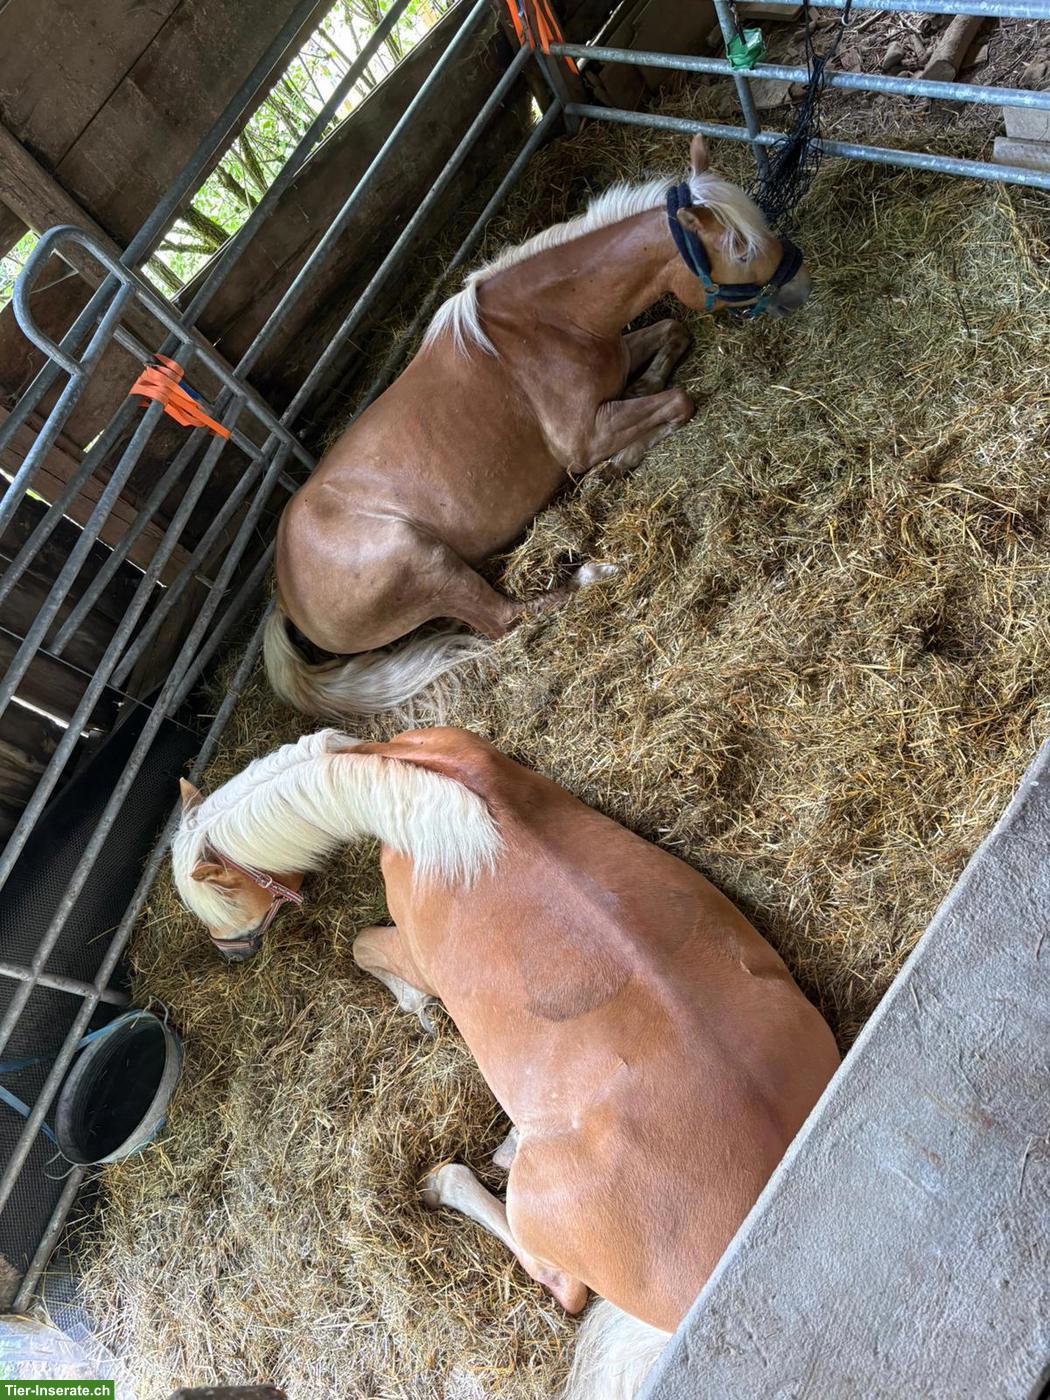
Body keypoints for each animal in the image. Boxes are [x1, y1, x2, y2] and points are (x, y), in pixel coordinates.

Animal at [172, 726, 839, 1398]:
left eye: (218, 901)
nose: (231, 953)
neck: (413, 776)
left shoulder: (411, 950)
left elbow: (362, 947)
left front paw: (417, 1007)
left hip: (541, 1206)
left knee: (559, 1283)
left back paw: (451, 1178)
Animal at [264, 134, 811, 718]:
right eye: (742, 251)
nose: (799, 286)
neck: (544, 323)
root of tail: (286, 593)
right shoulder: (585, 435)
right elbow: (679, 401)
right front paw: (616, 461)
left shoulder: (619, 356)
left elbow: (673, 332)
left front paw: (641, 393)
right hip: (423, 560)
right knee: (505, 620)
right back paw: (593, 573)